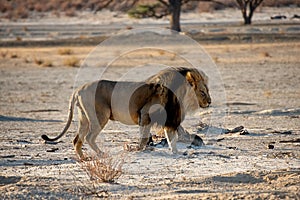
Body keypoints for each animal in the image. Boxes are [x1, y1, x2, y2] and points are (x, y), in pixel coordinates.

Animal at [41, 67, 211, 159]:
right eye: (203, 92)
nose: (210, 102)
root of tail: (78, 89)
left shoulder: (168, 121)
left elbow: (172, 139)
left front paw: (175, 152)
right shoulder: (146, 115)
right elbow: (144, 137)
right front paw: (141, 149)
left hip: (84, 119)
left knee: (77, 140)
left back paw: (83, 158)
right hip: (100, 116)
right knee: (89, 137)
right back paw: (101, 154)